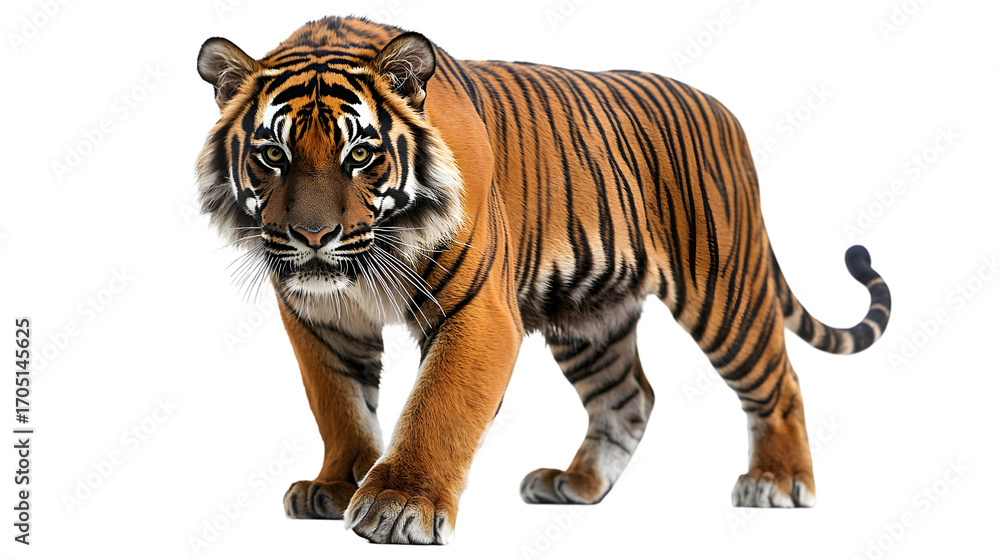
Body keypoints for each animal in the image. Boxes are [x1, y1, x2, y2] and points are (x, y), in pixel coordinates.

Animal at [195, 16, 891, 544]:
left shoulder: (478, 311)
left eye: (360, 155)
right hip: (591, 316)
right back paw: (574, 486)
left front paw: (399, 504)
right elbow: (338, 405)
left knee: (779, 383)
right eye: (272, 155)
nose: (313, 238)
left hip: (725, 291)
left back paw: (778, 481)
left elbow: (437, 405)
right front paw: (338, 485)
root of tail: (725, 112)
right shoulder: (321, 322)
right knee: (628, 397)